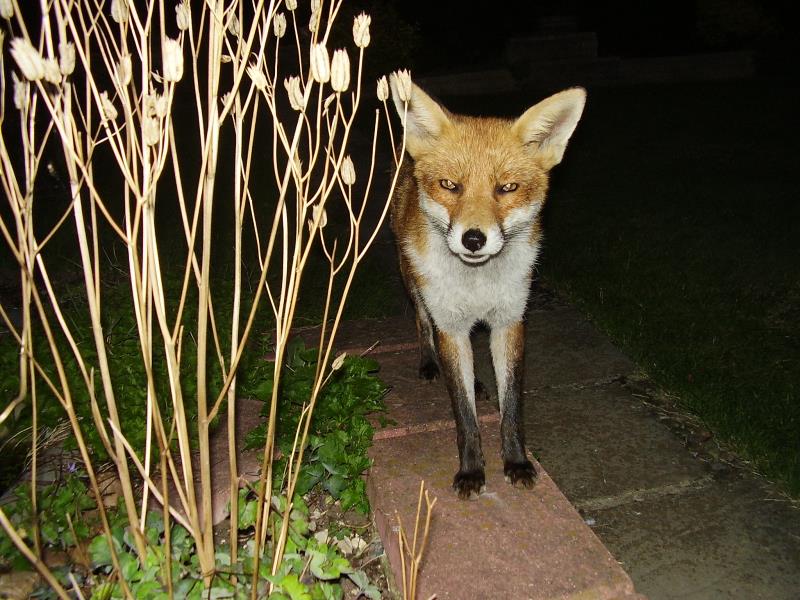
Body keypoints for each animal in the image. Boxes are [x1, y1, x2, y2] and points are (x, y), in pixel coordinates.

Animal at [388, 76, 586, 499]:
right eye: (450, 185)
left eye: (507, 188)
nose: (474, 239)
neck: (476, 284)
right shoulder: (450, 326)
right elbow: (465, 416)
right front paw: (471, 471)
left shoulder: (510, 322)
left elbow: (511, 408)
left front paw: (517, 462)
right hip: (413, 282)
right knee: (422, 323)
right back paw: (429, 362)